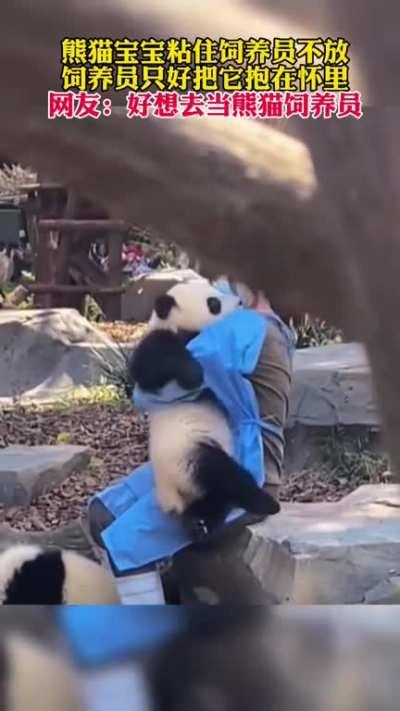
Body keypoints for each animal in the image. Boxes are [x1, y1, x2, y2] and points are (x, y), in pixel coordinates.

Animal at [129, 280, 280, 539]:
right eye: (214, 303)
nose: (240, 302)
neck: (178, 327)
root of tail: (171, 493)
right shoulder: (159, 341)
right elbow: (151, 364)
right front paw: (194, 372)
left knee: (216, 499)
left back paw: (199, 523)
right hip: (190, 452)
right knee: (225, 476)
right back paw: (265, 502)